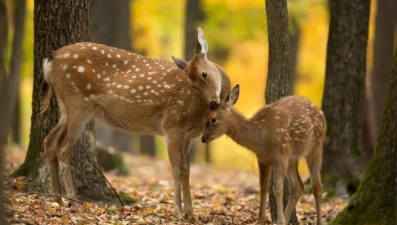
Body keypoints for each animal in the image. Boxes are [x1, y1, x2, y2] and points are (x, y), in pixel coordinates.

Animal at [40, 27, 230, 218]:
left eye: (204, 74)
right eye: (192, 84)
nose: (213, 102)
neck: (198, 115)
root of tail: (49, 60)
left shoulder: (188, 136)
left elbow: (186, 170)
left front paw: (190, 213)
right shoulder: (173, 125)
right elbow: (176, 169)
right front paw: (178, 212)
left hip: (66, 108)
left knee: (49, 141)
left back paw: (57, 199)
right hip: (78, 102)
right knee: (63, 148)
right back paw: (73, 201)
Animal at [201, 85, 324, 225]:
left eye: (213, 119)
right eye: (203, 118)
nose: (203, 138)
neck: (262, 137)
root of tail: (322, 115)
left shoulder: (281, 156)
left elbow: (277, 189)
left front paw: (280, 221)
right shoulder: (262, 159)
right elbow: (263, 186)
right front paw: (260, 220)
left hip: (316, 146)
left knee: (317, 186)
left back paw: (318, 221)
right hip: (292, 157)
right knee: (298, 186)